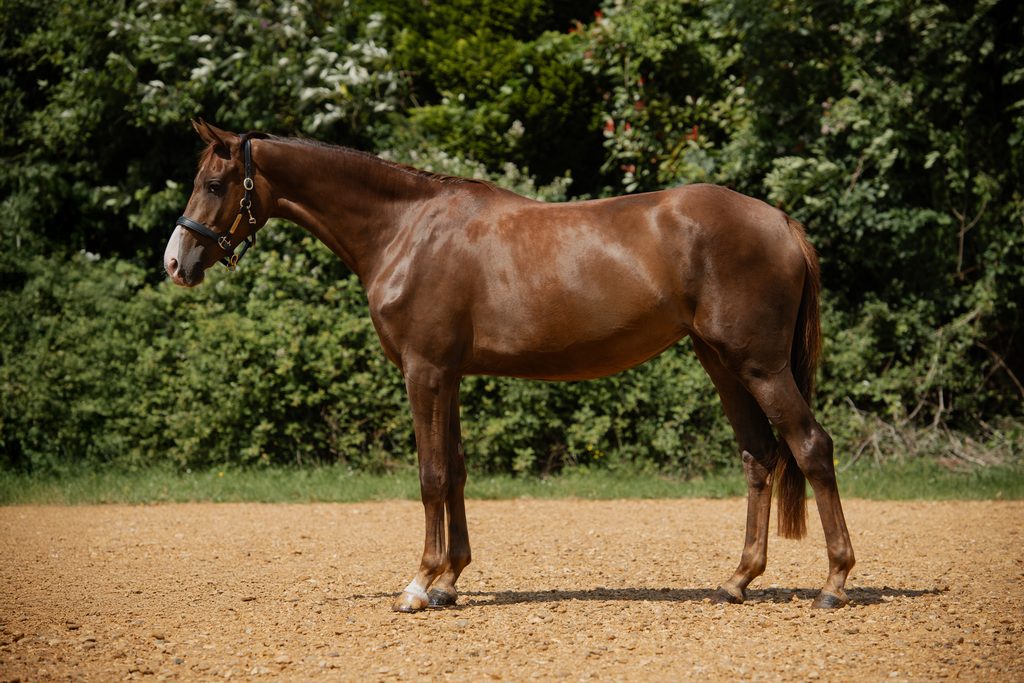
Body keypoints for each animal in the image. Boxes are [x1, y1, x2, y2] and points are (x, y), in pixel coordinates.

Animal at [165, 119, 855, 612]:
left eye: (216, 184)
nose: (176, 262)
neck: (405, 229)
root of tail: (780, 221)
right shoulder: (449, 376)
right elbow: (457, 471)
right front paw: (449, 582)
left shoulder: (424, 372)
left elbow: (431, 475)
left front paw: (419, 585)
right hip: (721, 362)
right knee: (760, 456)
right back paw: (737, 580)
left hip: (759, 365)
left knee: (811, 447)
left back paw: (834, 584)